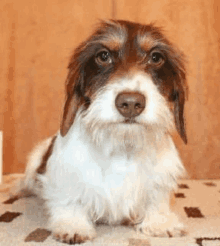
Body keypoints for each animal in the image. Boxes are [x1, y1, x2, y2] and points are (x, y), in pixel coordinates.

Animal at [15, 19, 187, 244]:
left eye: (156, 57)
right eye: (103, 56)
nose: (131, 103)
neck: (122, 146)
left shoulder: (160, 179)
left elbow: (156, 199)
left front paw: (160, 221)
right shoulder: (66, 174)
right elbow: (70, 199)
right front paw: (73, 225)